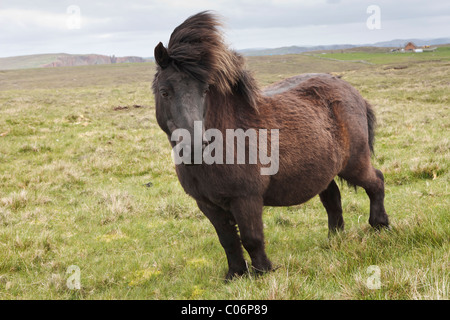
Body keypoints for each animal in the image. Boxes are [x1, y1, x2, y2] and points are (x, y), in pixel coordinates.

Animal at [152, 11, 390, 278]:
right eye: (164, 91)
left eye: (205, 90)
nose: (193, 145)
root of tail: (352, 91)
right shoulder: (207, 204)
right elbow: (228, 241)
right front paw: (235, 274)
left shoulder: (247, 198)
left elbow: (251, 238)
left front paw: (262, 272)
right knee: (333, 199)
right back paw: (335, 238)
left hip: (354, 164)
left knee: (376, 182)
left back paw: (380, 226)